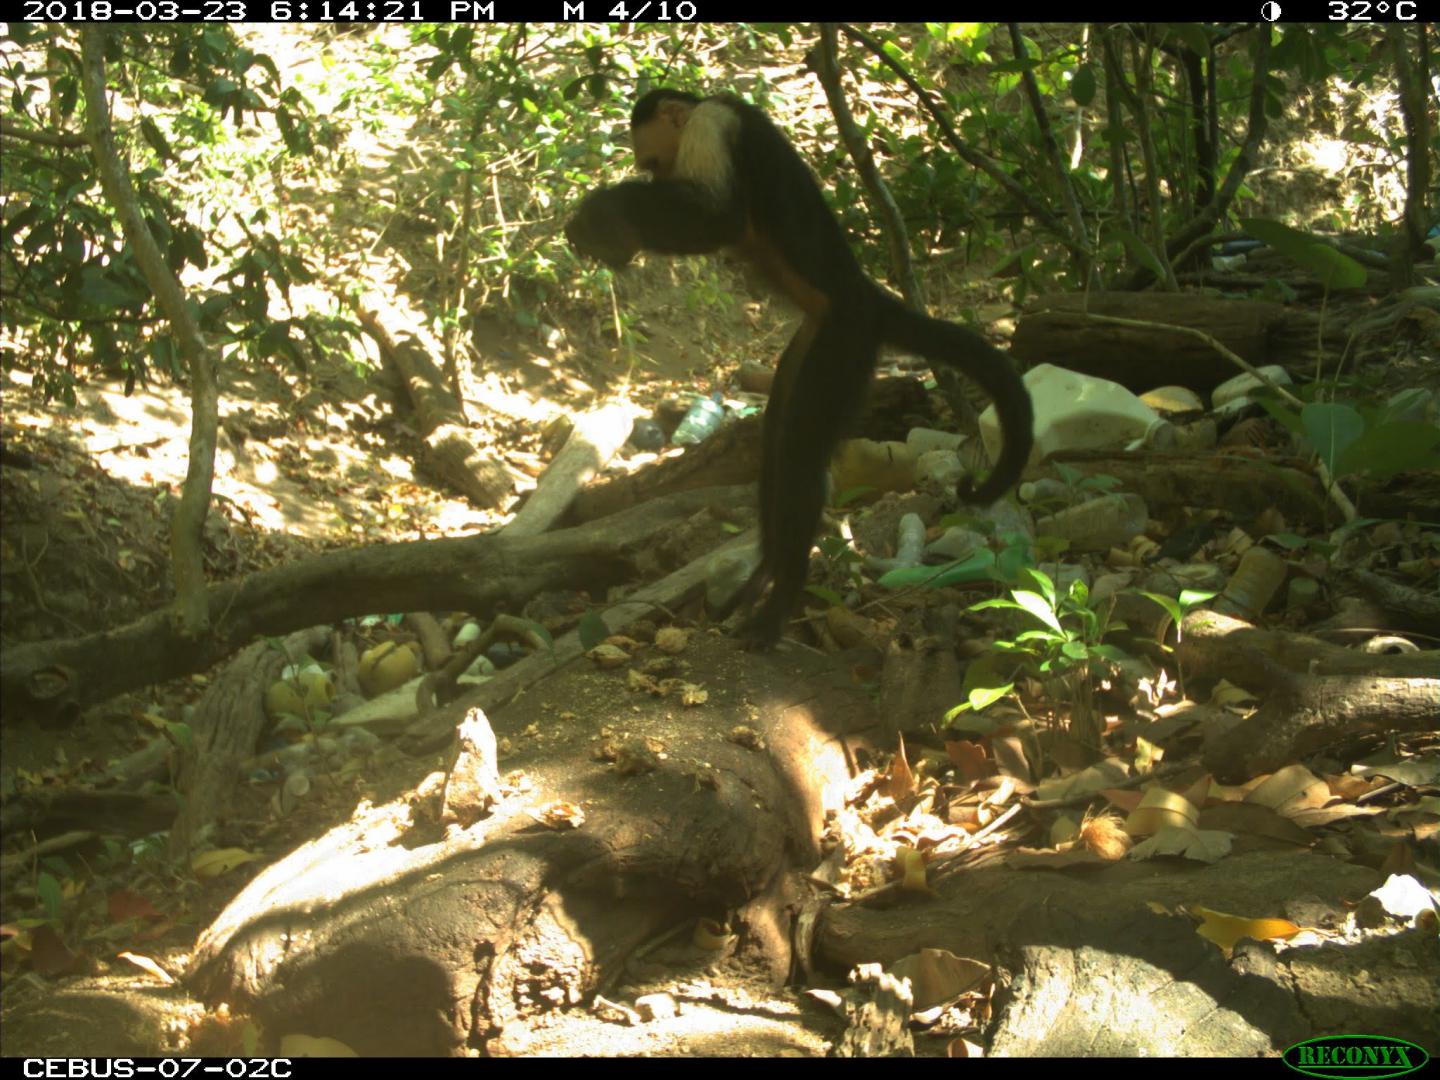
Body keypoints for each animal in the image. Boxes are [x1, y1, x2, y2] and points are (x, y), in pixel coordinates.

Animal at [566, 89, 1034, 648]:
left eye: (654, 165)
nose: (655, 184)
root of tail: (868, 296)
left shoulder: (712, 123)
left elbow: (719, 219)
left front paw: (605, 209)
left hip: (846, 339)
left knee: (801, 448)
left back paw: (780, 601)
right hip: (816, 338)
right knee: (777, 435)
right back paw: (765, 573)